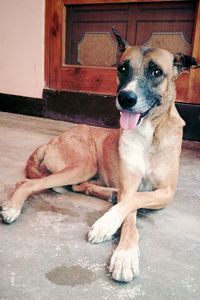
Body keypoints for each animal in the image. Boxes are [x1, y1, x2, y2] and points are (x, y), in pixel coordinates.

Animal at [0, 34, 197, 282]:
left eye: (156, 72)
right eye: (122, 68)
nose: (126, 98)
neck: (148, 132)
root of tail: (53, 139)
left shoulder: (167, 191)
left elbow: (134, 201)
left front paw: (116, 240)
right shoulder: (130, 186)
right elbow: (131, 208)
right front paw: (120, 246)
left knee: (77, 186)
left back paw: (109, 194)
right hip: (85, 164)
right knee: (28, 182)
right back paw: (12, 208)